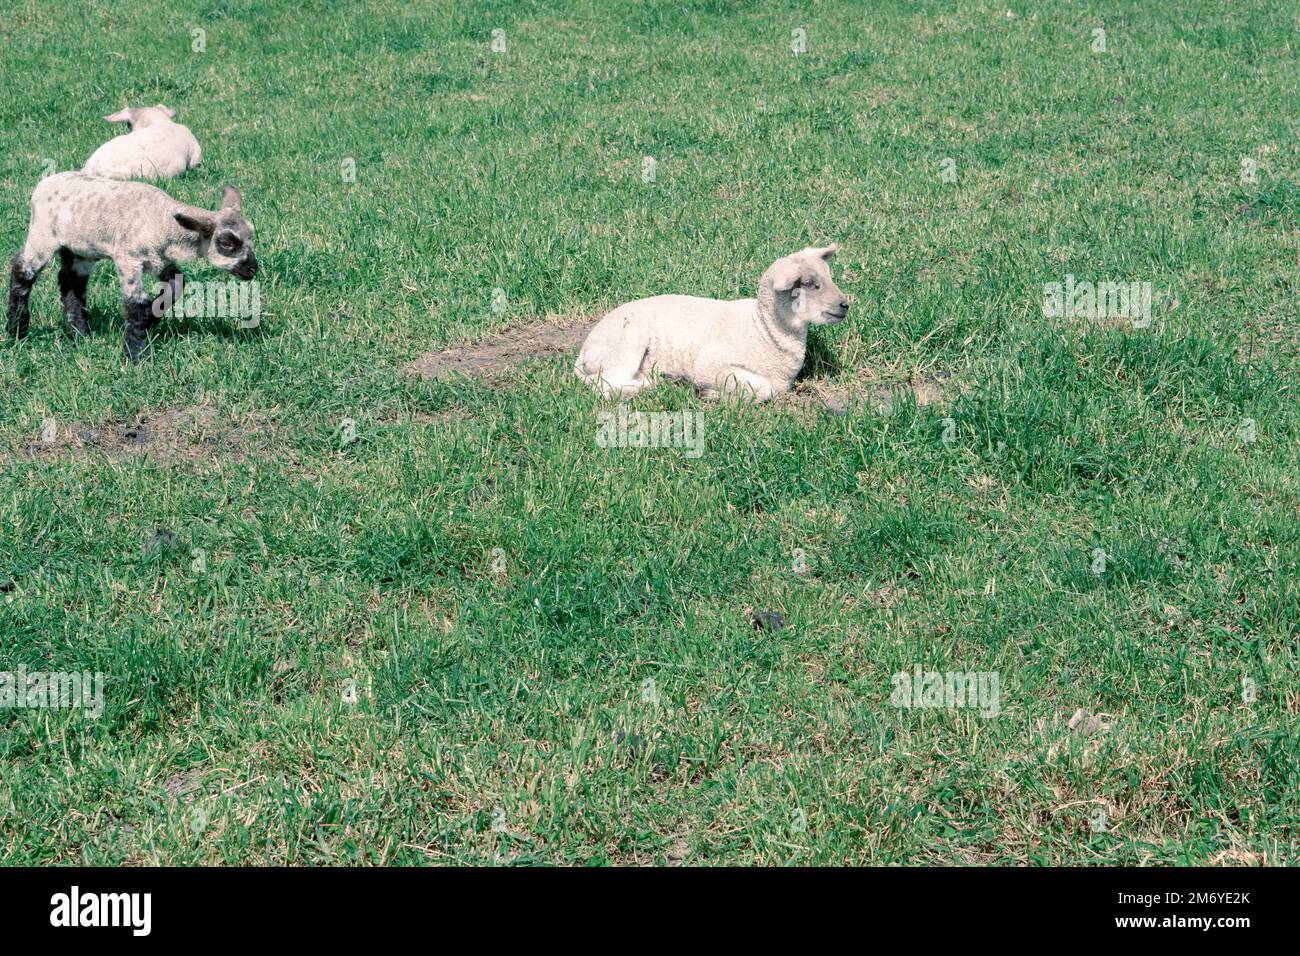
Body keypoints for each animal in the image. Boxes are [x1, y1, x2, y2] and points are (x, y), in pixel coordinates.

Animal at [6, 172, 258, 361]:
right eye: (227, 243)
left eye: (252, 235)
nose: (252, 269)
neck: (163, 220)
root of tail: (43, 184)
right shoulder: (128, 258)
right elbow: (136, 303)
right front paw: (136, 354)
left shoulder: (160, 260)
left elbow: (177, 285)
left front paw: (152, 319)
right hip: (42, 234)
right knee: (22, 269)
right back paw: (16, 329)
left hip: (80, 249)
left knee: (71, 283)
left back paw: (79, 333)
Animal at [575, 245, 850, 401]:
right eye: (810, 284)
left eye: (829, 277)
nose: (845, 305)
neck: (762, 331)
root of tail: (583, 353)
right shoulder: (710, 364)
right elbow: (763, 389)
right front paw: (712, 394)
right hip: (626, 342)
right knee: (604, 385)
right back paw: (654, 385)